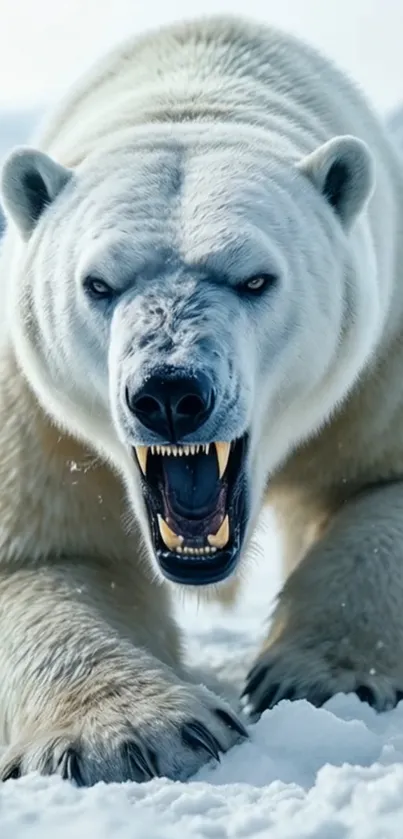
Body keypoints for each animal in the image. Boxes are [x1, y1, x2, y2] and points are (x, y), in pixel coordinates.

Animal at [0, 13, 403, 784]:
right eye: (98, 283)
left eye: (255, 278)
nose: (169, 392)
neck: (196, 83)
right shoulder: (37, 412)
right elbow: (48, 557)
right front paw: (136, 734)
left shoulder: (379, 349)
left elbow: (378, 487)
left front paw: (319, 674)